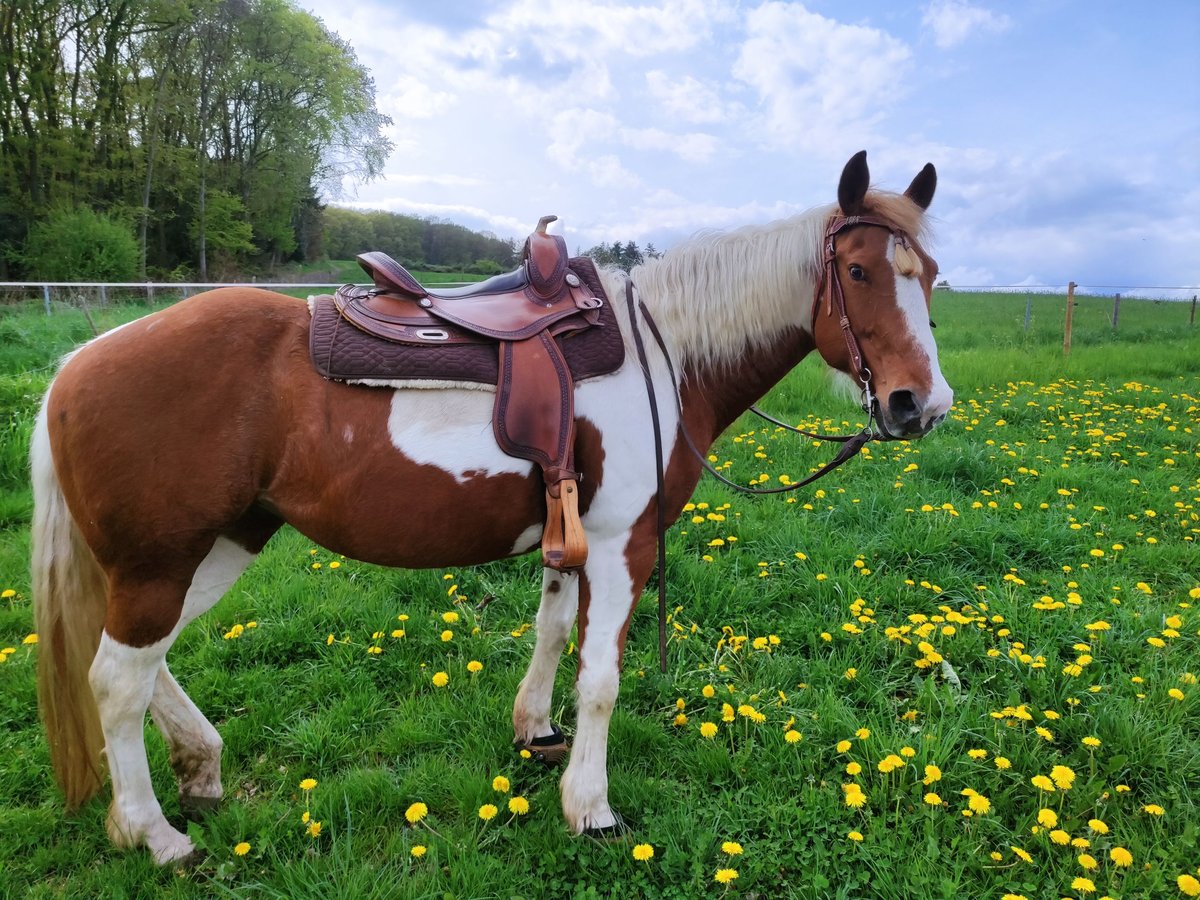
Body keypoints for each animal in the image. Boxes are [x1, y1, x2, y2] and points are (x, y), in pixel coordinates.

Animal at [31, 151, 952, 864]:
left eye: (934, 278)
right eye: (859, 271)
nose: (921, 405)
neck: (664, 353)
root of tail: (75, 365)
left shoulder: (568, 536)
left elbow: (551, 632)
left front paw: (535, 732)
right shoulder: (621, 542)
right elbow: (601, 678)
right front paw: (591, 806)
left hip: (218, 544)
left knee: (145, 663)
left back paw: (200, 766)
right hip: (161, 559)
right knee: (117, 679)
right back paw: (154, 835)